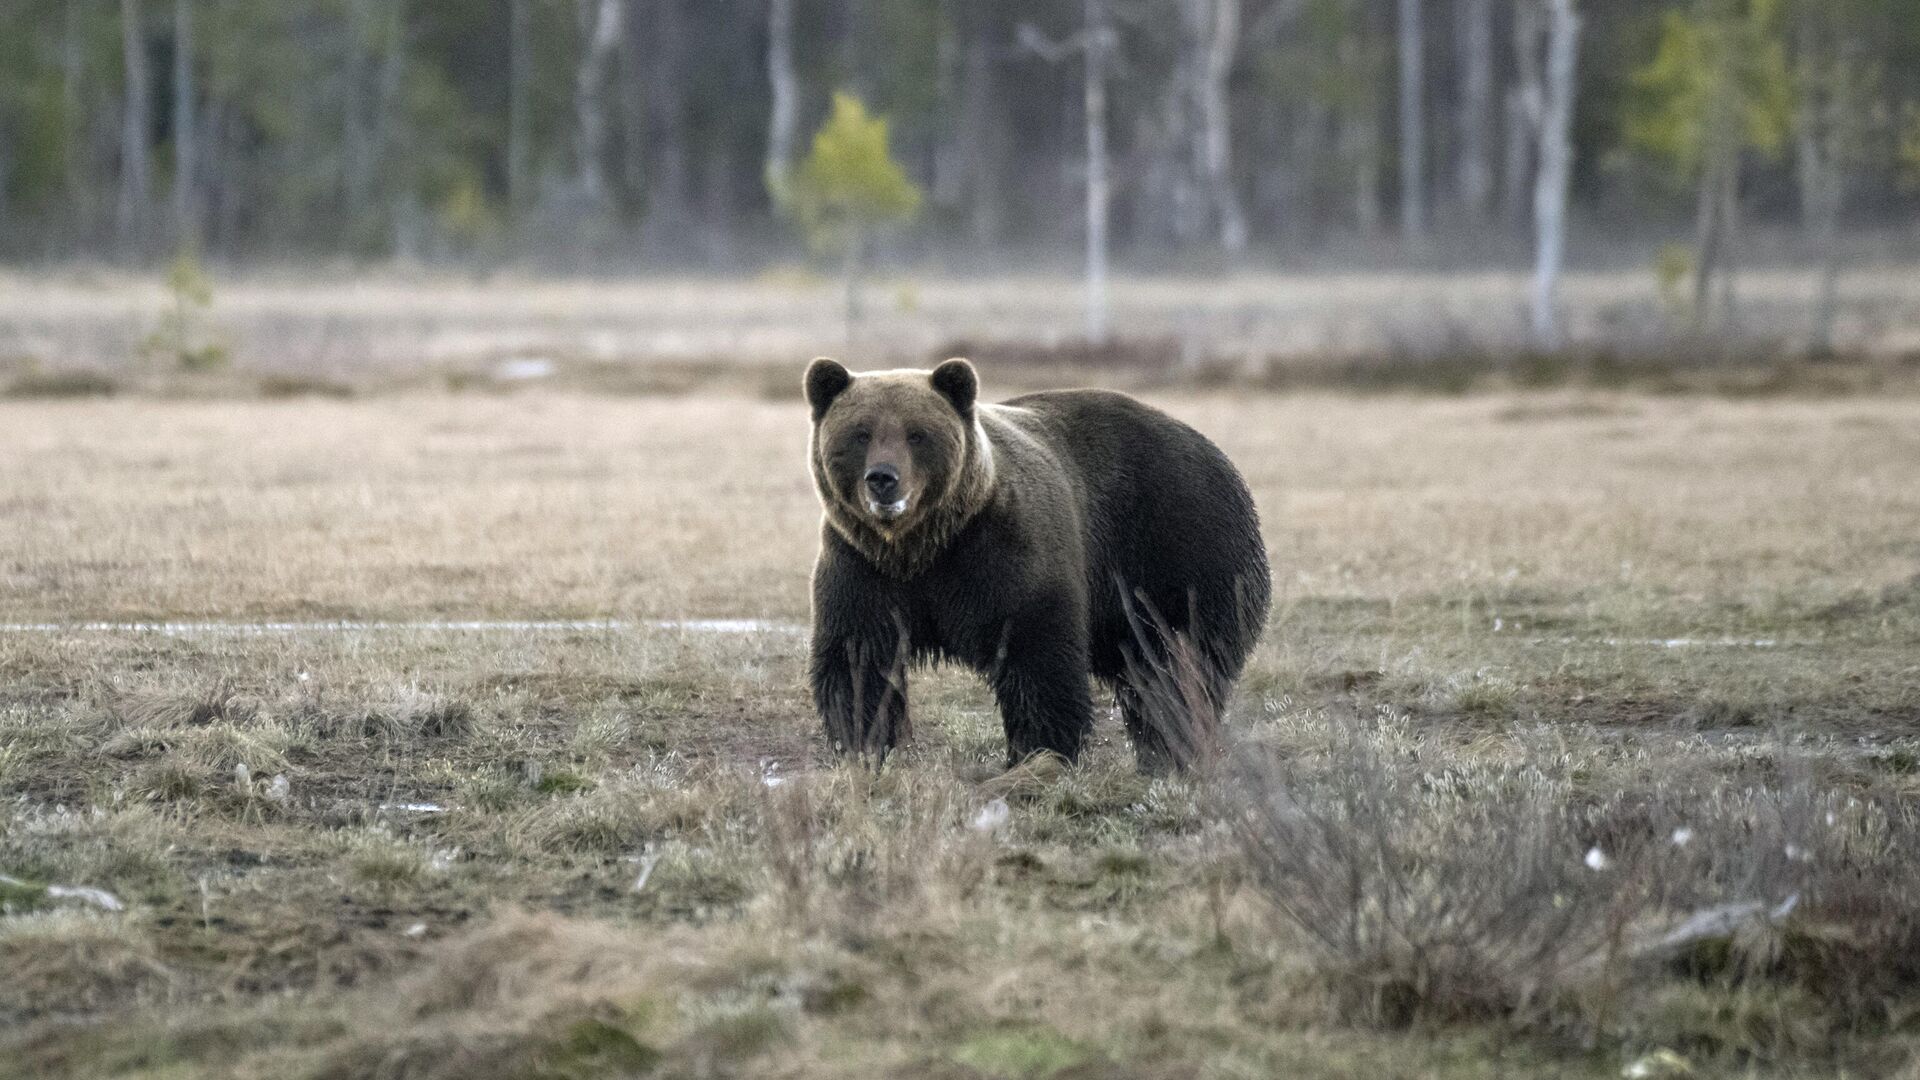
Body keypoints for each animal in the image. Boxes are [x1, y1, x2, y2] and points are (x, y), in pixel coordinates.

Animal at [802, 357, 1267, 768]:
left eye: (917, 434)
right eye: (861, 433)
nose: (883, 478)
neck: (921, 546)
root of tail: (1213, 450)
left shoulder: (1003, 553)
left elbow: (1037, 657)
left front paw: (1038, 750)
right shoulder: (862, 565)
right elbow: (858, 659)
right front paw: (865, 744)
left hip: (1176, 549)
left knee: (1177, 662)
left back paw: (1170, 746)